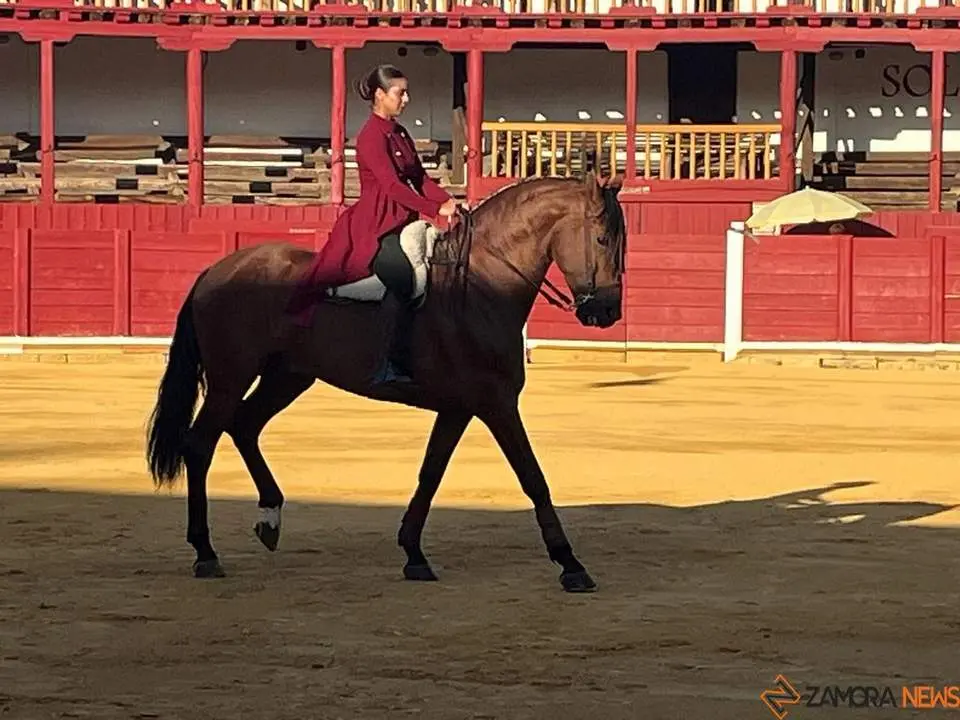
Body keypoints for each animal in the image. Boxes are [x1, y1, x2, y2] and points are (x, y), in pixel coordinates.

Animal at [145, 170, 627, 593]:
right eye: (603, 239)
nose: (606, 312)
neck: (483, 283)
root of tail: (215, 271)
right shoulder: (497, 404)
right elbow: (532, 476)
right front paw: (571, 564)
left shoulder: (459, 407)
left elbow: (431, 473)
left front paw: (413, 554)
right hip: (231, 378)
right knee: (200, 444)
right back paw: (205, 552)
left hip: (287, 377)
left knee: (244, 426)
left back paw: (269, 518)